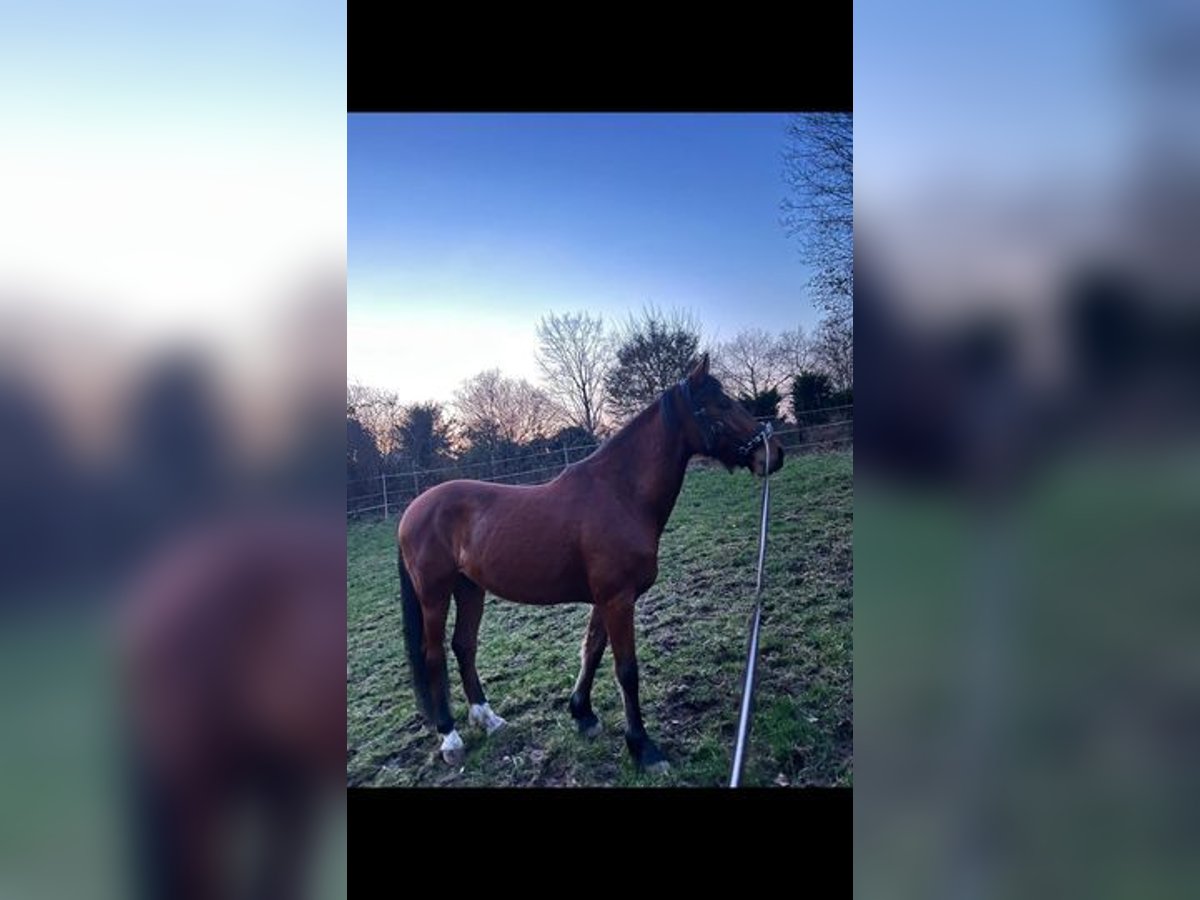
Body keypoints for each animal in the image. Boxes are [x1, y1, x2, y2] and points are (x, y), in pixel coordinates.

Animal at [398, 355, 782, 772]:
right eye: (722, 404)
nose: (773, 453)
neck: (619, 494)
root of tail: (413, 509)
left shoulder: (606, 599)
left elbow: (592, 651)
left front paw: (583, 715)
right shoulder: (618, 598)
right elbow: (626, 670)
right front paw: (643, 748)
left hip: (470, 589)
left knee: (464, 646)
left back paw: (489, 719)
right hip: (434, 595)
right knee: (434, 655)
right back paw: (450, 737)